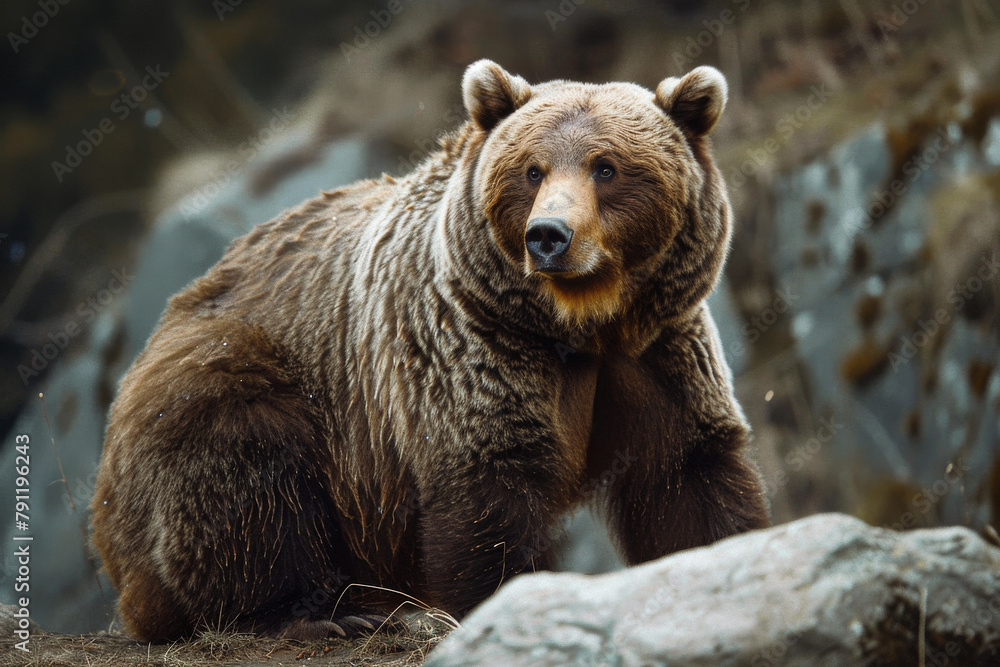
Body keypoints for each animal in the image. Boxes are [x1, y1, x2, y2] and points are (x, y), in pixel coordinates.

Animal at [91, 59, 769, 642]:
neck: (581, 324)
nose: (549, 236)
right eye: (532, 170)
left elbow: (686, 473)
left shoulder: (656, 350)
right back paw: (320, 615)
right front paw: (499, 600)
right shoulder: (469, 349)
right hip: (234, 374)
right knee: (245, 467)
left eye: (606, 167)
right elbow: (486, 497)